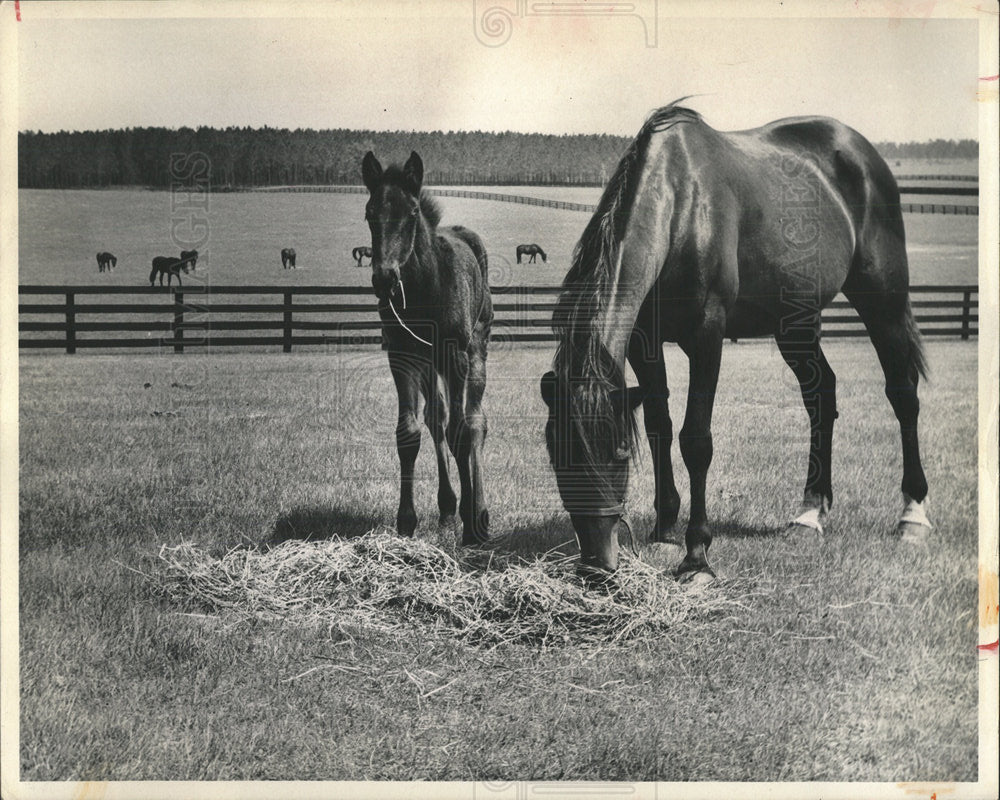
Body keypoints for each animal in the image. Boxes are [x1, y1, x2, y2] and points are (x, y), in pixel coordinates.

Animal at [364, 150, 496, 544]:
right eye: (369, 214)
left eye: (410, 213)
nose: (384, 278)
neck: (425, 287)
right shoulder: (401, 356)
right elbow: (409, 433)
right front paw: (406, 521)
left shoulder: (455, 355)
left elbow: (461, 432)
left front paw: (471, 521)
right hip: (427, 363)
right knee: (436, 418)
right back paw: (447, 507)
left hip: (476, 350)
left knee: (475, 422)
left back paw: (479, 514)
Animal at [544, 103, 932, 584]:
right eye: (554, 452)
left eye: (618, 454)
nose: (597, 564)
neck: (681, 206)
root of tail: (860, 151)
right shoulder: (643, 343)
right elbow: (658, 425)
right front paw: (664, 526)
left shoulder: (706, 336)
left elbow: (695, 440)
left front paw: (696, 555)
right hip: (796, 324)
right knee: (821, 396)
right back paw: (810, 512)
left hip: (883, 301)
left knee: (903, 394)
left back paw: (913, 514)